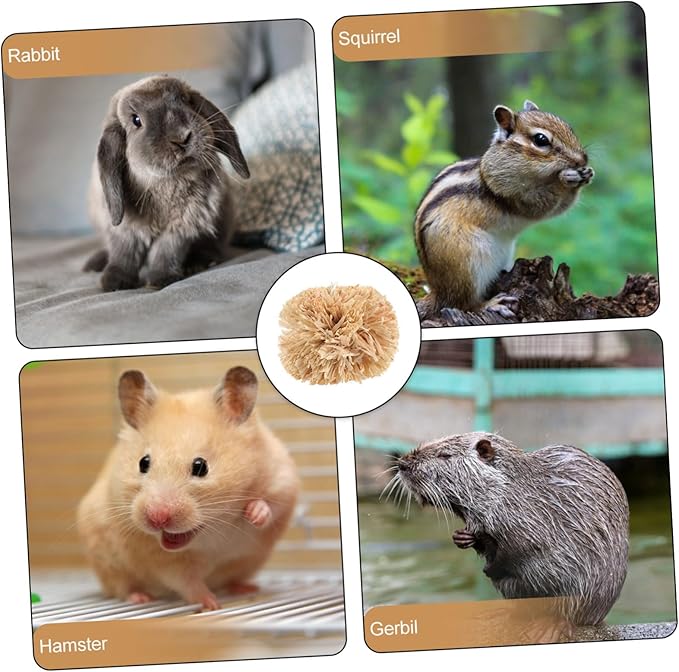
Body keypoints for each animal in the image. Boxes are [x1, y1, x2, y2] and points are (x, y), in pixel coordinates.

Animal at [77, 366, 299, 610]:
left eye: (200, 466)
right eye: (143, 463)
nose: (157, 518)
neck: (212, 530)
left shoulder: (283, 481)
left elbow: (271, 505)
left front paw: (254, 514)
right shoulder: (168, 561)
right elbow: (188, 583)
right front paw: (212, 604)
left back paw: (246, 588)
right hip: (109, 564)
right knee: (122, 587)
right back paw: (141, 597)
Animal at [84, 75, 250, 291]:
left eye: (185, 99)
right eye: (136, 120)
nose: (182, 137)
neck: (165, 183)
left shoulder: (182, 226)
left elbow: (166, 251)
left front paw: (160, 280)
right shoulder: (125, 228)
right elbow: (124, 253)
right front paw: (114, 283)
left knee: (213, 246)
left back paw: (200, 262)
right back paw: (94, 264)